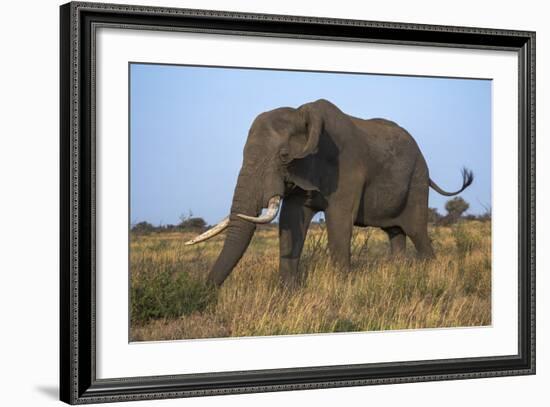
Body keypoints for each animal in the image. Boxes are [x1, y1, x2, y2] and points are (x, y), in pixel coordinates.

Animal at [187, 99, 474, 288]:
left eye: (284, 156)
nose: (205, 292)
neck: (304, 115)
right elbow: (291, 221)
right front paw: (288, 293)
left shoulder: (347, 167)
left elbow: (338, 221)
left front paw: (341, 291)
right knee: (395, 233)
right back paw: (398, 274)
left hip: (417, 181)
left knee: (417, 231)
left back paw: (430, 274)